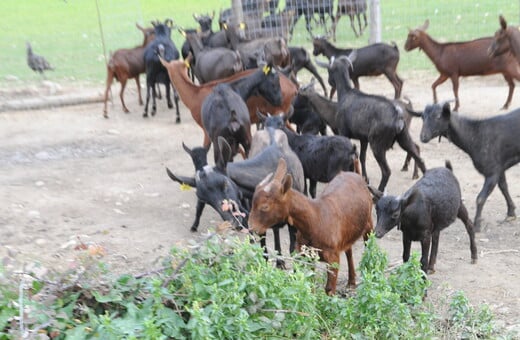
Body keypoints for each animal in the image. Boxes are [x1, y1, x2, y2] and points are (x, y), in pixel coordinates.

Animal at [249, 158, 374, 294]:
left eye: (265, 206)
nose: (251, 227)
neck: (316, 219)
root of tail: (357, 175)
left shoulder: (333, 258)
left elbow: (329, 289)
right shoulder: (307, 254)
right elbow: (309, 284)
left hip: (368, 222)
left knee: (368, 246)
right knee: (348, 250)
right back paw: (351, 282)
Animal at [320, 53, 426, 191]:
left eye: (329, 70)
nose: (329, 81)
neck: (346, 93)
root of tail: (396, 115)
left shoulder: (344, 133)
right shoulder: (363, 138)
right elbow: (362, 157)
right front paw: (365, 178)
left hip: (377, 145)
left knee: (386, 171)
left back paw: (379, 192)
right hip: (404, 138)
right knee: (420, 159)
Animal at [416, 102, 520, 232]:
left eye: (438, 116)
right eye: (422, 117)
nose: (423, 137)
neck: (475, 137)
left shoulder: (492, 172)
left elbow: (480, 198)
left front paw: (476, 225)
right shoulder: (499, 168)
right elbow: (504, 187)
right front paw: (511, 213)